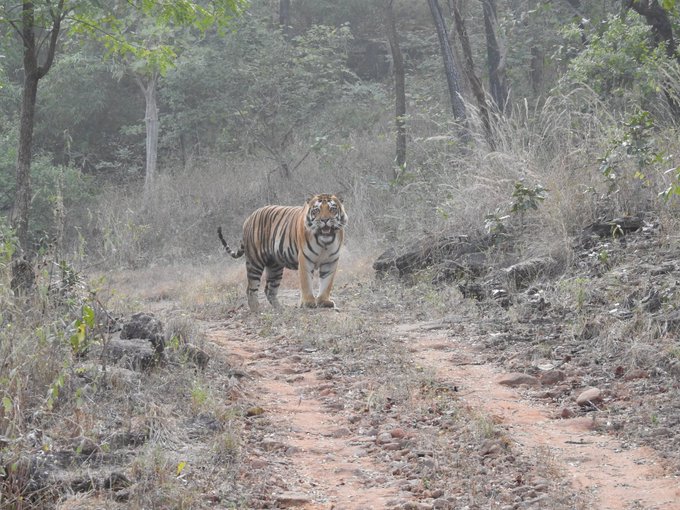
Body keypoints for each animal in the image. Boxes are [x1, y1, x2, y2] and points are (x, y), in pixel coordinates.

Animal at [218, 194, 348, 310]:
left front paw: (324, 302)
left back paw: (280, 309)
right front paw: (309, 303)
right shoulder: (305, 260)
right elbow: (306, 282)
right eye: (316, 210)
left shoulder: (330, 261)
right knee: (251, 288)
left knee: (269, 290)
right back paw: (257, 310)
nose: (325, 220)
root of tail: (250, 216)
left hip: (275, 266)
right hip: (255, 261)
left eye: (332, 209)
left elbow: (327, 282)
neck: (325, 242)